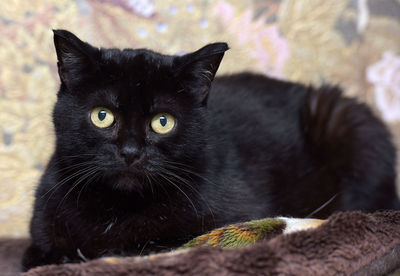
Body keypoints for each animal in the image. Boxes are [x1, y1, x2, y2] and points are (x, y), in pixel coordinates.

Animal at [22, 29, 400, 270]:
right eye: (102, 116)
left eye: (163, 121)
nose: (130, 152)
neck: (119, 209)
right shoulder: (40, 237)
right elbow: (43, 255)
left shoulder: (236, 216)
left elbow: (157, 244)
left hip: (348, 121)